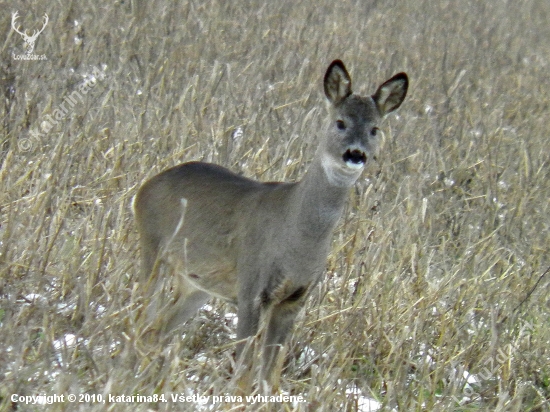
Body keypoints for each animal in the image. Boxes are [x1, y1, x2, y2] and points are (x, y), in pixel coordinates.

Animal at [134, 60, 410, 390]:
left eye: (375, 129)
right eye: (340, 122)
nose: (355, 154)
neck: (295, 235)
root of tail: (143, 189)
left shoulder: (294, 299)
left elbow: (270, 376)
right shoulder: (252, 287)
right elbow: (243, 371)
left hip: (196, 284)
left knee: (157, 330)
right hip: (152, 249)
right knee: (141, 322)